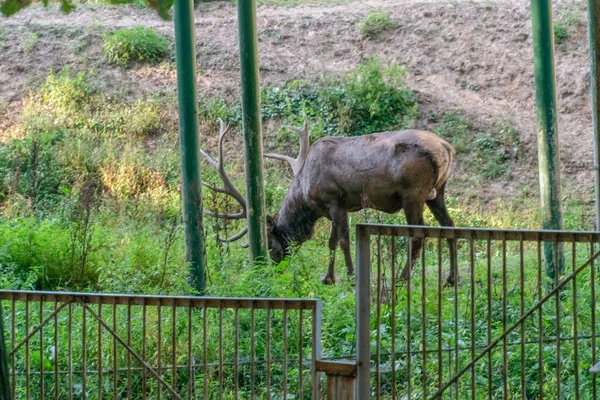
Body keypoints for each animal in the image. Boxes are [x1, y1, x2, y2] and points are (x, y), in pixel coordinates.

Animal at [202, 114, 460, 286]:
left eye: (271, 246)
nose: (275, 270)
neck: (306, 195)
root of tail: (447, 148)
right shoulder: (333, 207)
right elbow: (332, 241)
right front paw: (328, 277)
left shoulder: (335, 200)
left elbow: (344, 240)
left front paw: (351, 277)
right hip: (437, 192)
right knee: (450, 225)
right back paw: (451, 279)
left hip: (412, 193)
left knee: (418, 235)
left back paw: (401, 278)